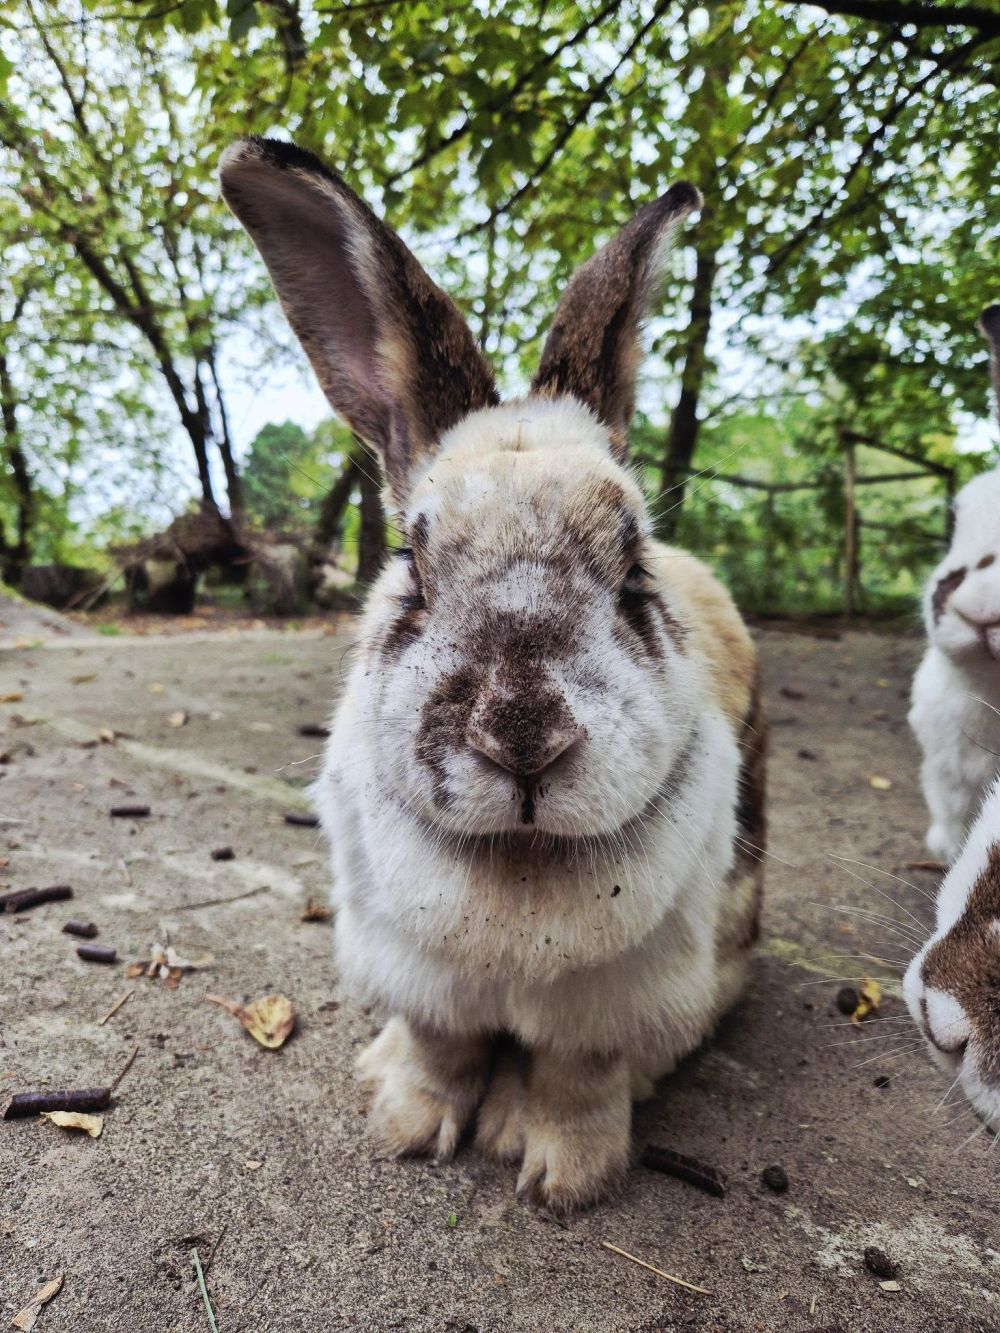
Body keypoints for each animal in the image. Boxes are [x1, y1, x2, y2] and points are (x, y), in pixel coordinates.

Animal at [220, 136, 766, 1211]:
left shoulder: (609, 1006)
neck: (517, 864)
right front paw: (404, 1125)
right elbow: (442, 1049)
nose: (522, 738)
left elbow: (575, 1079)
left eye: (634, 570)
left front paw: (560, 1174)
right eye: (412, 571)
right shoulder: (424, 978)